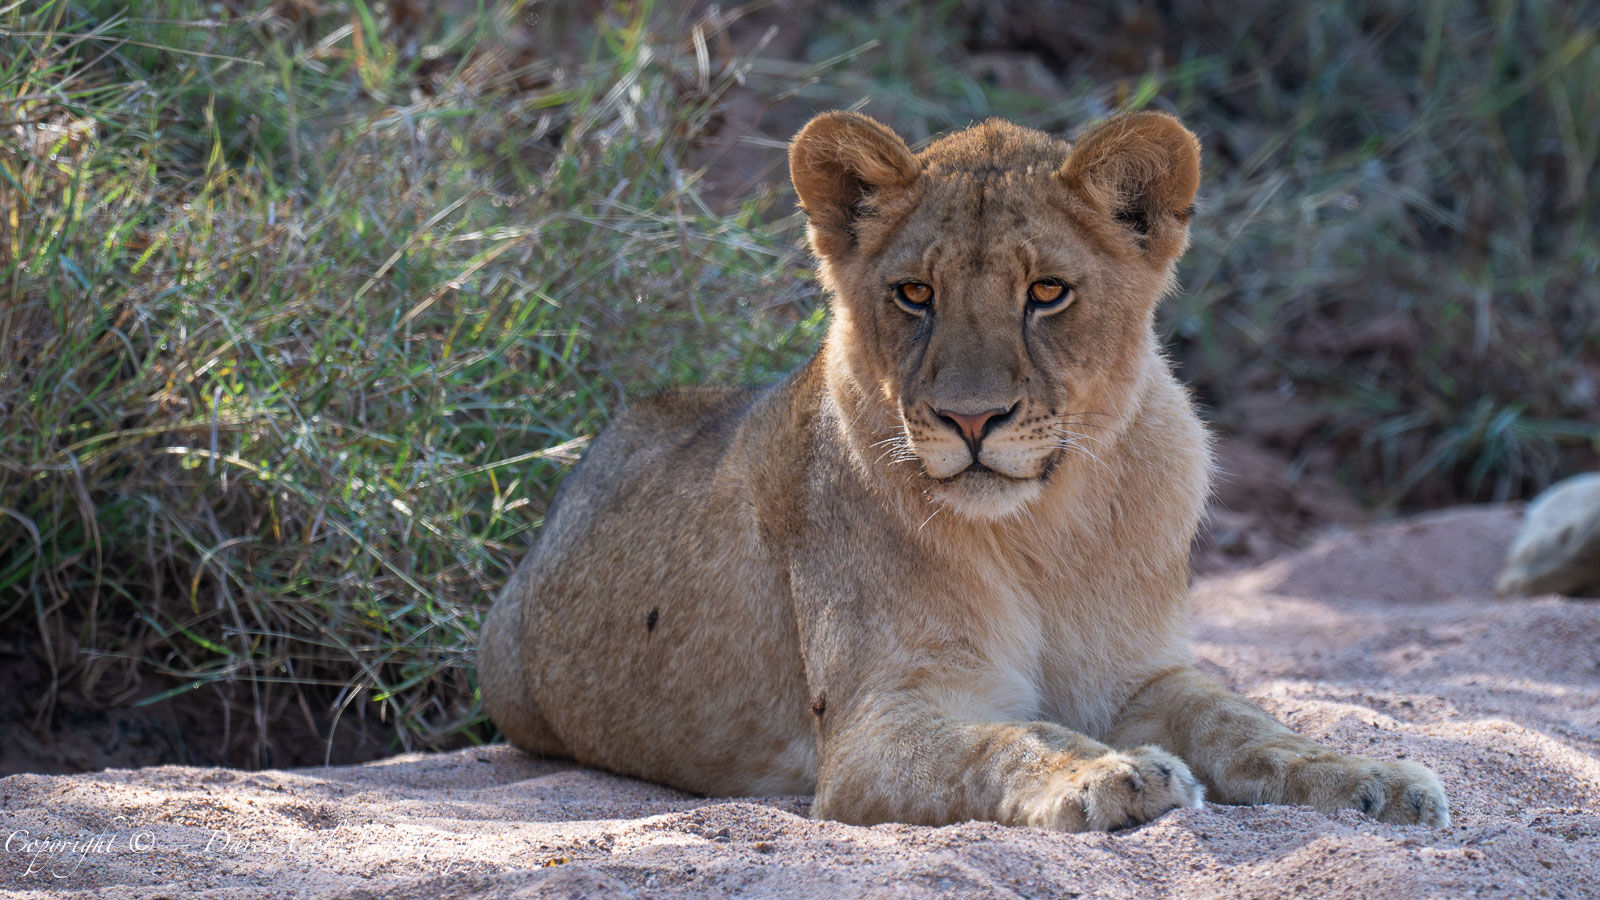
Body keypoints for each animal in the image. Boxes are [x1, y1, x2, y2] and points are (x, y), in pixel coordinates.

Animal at [477, 110, 1450, 830]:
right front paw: (1112, 777)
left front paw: (1373, 777)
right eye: (916, 294)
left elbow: (1246, 720)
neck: (1044, 532)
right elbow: (1013, 739)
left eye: (1047, 293)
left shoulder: (1146, 674)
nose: (972, 420)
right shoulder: (875, 729)